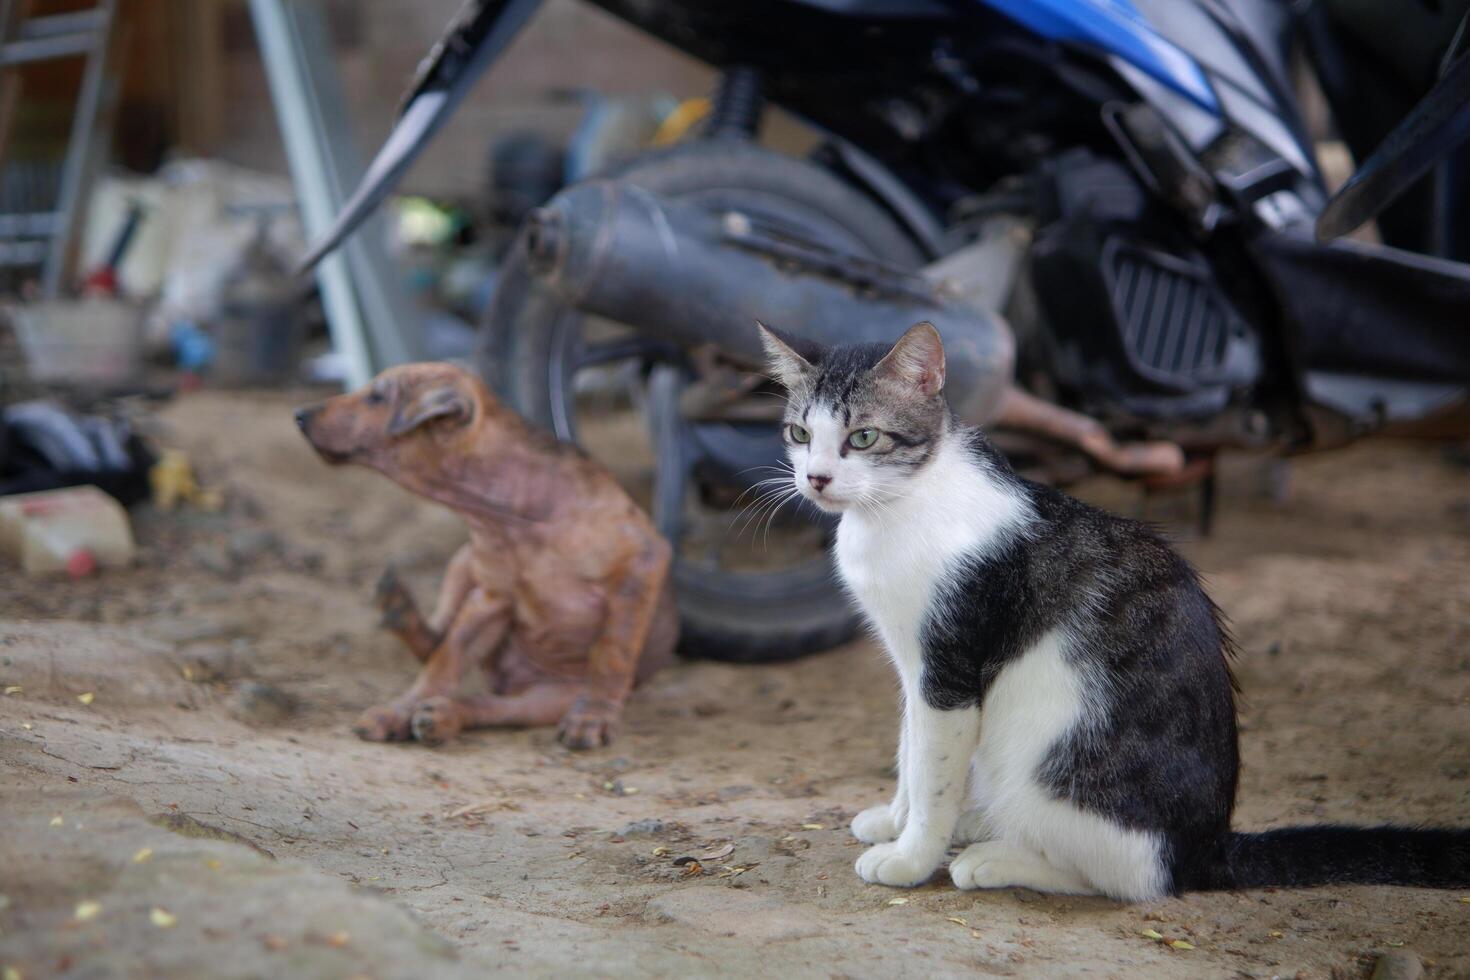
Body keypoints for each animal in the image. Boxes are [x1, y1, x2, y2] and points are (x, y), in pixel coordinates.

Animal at [298, 364, 676, 746]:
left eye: (376, 397)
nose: (299, 415)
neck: (510, 517)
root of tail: (509, 678)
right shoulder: (490, 598)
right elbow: (446, 658)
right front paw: (397, 710)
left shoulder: (643, 562)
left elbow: (612, 650)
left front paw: (592, 716)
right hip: (463, 562)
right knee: (438, 644)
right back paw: (402, 624)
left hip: (545, 700)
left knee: (489, 707)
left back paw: (443, 715)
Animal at [758, 318, 1470, 899]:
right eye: (800, 433)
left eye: (863, 437)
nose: (815, 478)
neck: (899, 507)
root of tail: (1209, 849)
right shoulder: (915, 665)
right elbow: (912, 750)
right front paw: (895, 820)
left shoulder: (951, 663)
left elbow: (932, 769)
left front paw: (911, 857)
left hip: (1047, 758)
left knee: (1131, 877)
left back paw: (994, 857)